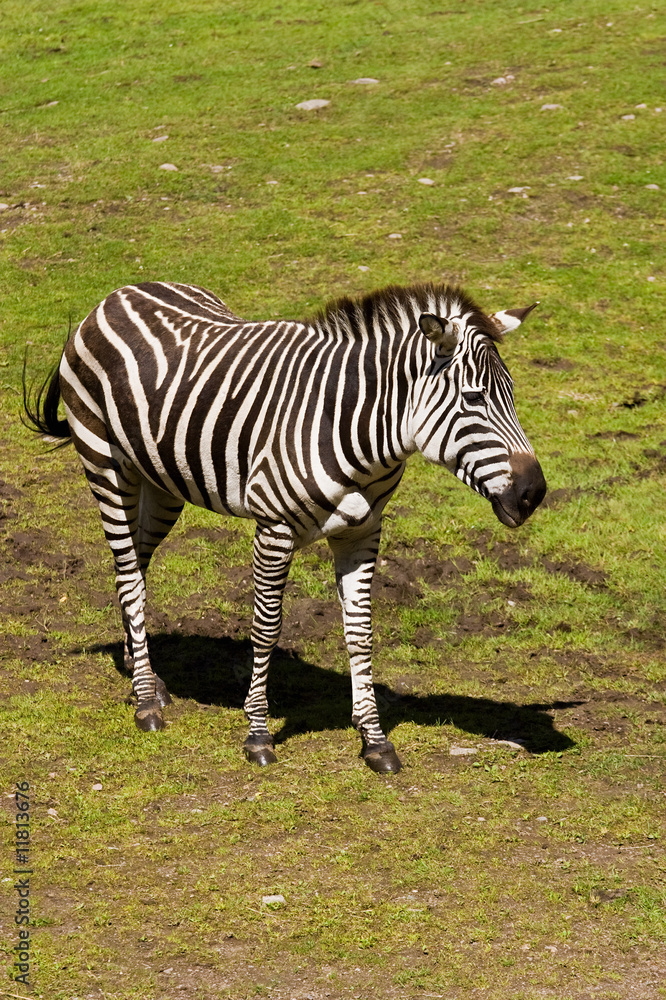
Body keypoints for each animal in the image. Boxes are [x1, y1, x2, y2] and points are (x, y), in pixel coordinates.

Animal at [25, 280, 546, 773]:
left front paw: (375, 740)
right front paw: (257, 735)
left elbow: (360, 632)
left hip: (164, 482)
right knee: (129, 573)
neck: (356, 427)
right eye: (474, 399)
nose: (534, 493)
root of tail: (118, 294)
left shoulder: (362, 531)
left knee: (134, 565)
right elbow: (266, 627)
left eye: (513, 394)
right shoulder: (273, 529)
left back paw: (144, 678)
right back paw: (147, 704)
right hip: (105, 466)